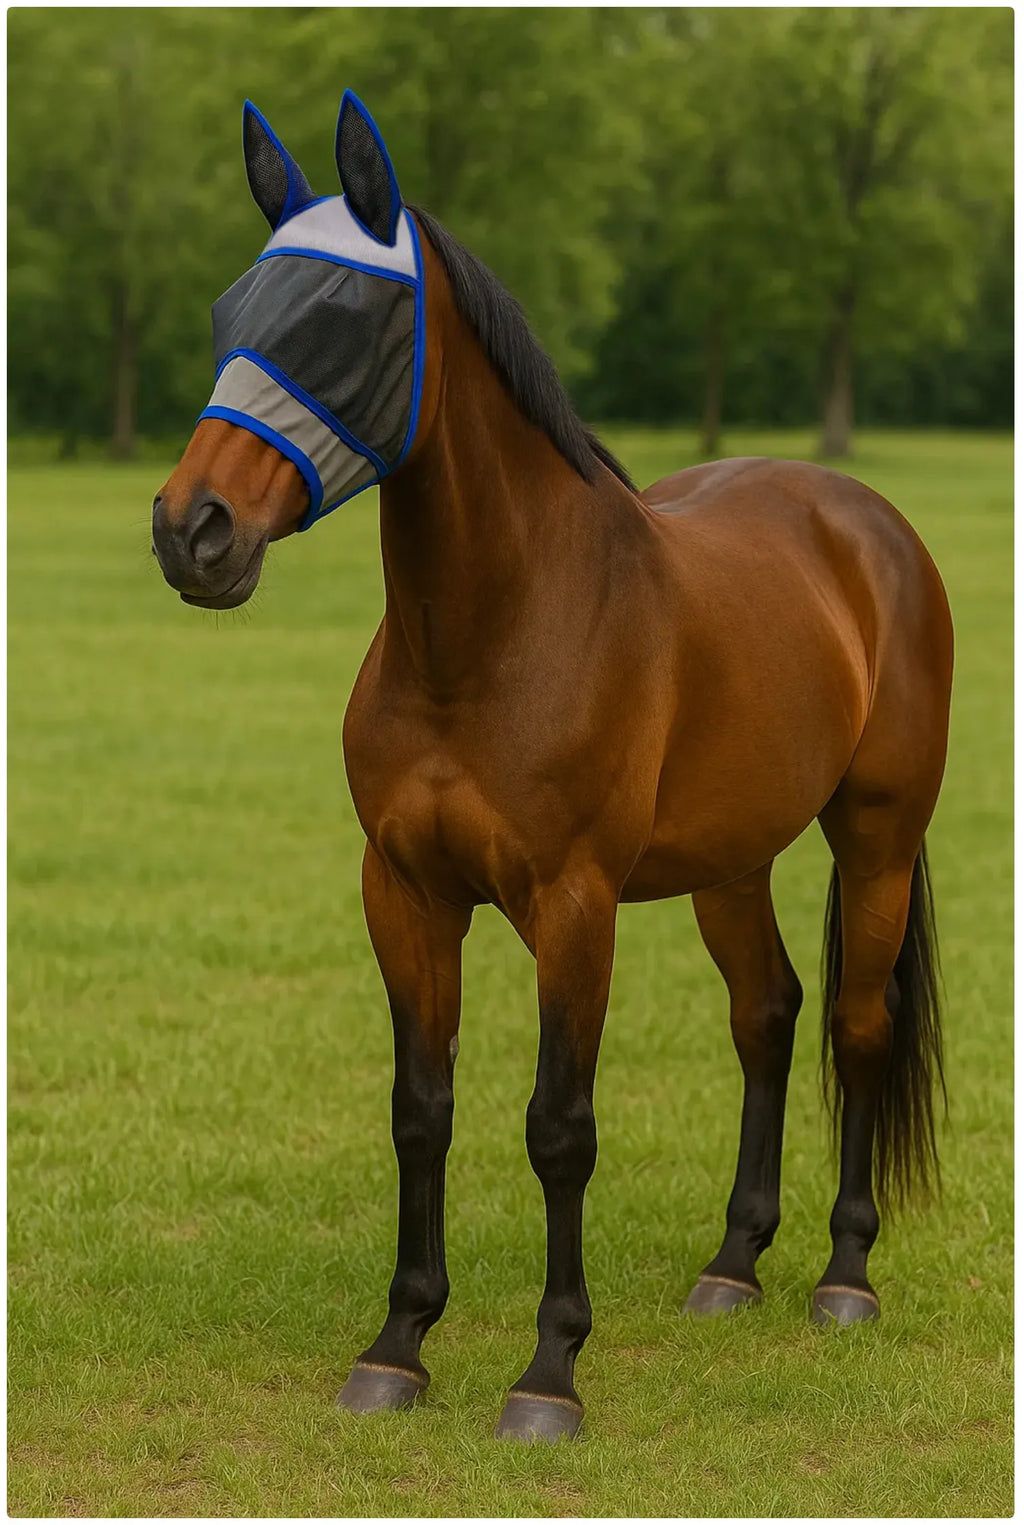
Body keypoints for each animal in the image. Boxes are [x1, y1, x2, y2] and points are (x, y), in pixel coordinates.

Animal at [152, 93, 953, 1443]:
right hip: (728, 864)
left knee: (855, 1023)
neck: (490, 635)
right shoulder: (405, 895)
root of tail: (865, 523)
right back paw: (732, 1266)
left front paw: (547, 1373)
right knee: (767, 1014)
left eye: (343, 319)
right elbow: (421, 1110)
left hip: (876, 837)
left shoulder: (574, 905)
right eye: (228, 314)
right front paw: (398, 1346)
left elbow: (557, 1127)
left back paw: (843, 1276)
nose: (190, 531)